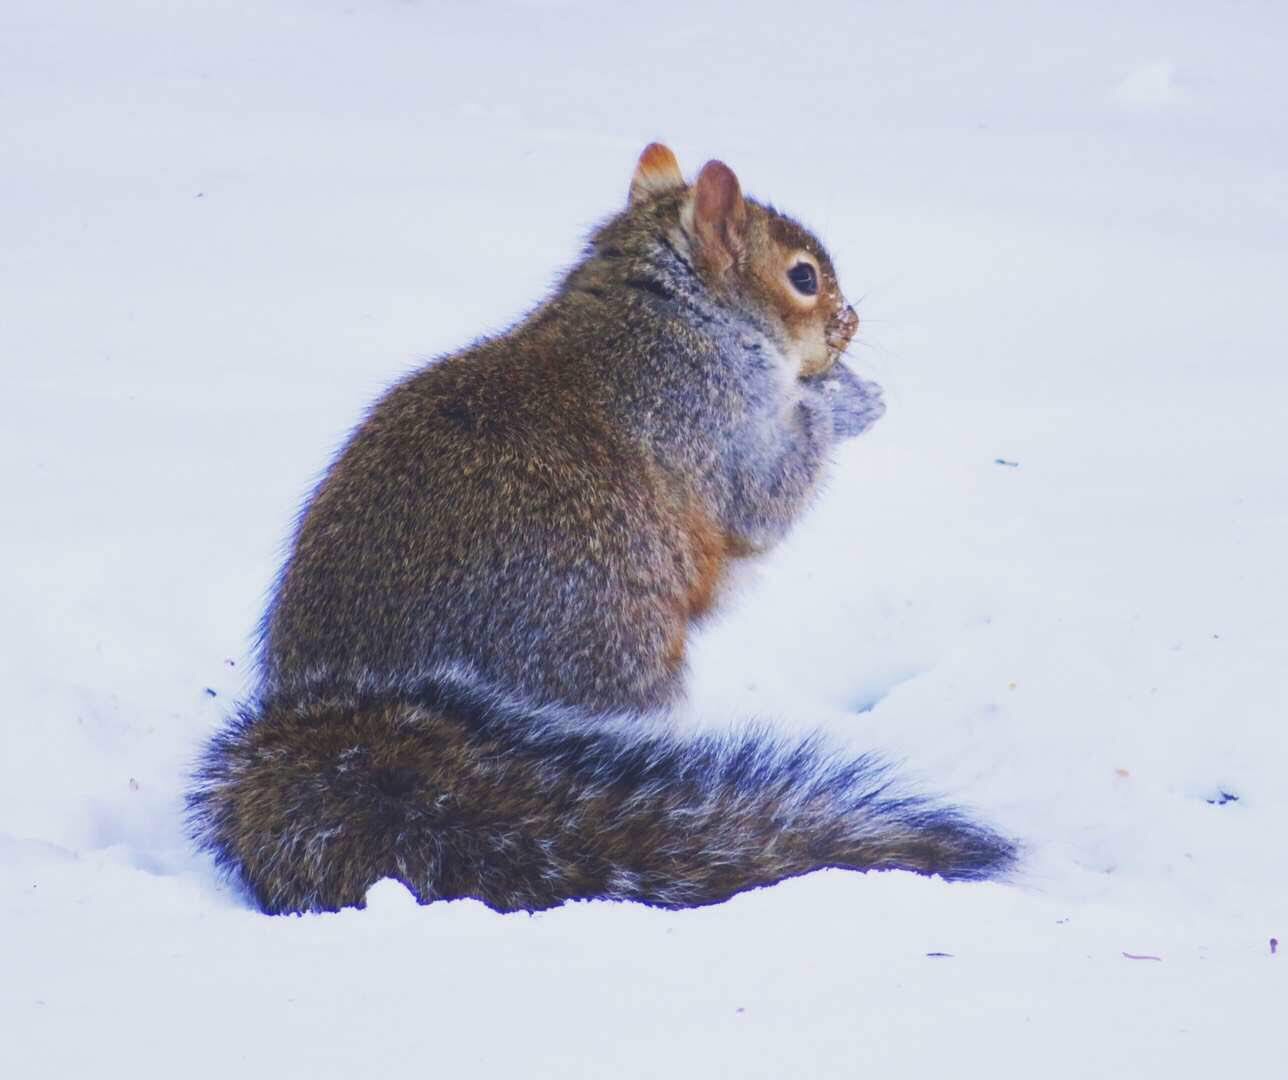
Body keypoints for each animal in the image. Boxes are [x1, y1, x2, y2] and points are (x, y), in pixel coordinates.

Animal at [190, 148, 1014, 916]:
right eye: (804, 277)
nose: (851, 325)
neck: (672, 312)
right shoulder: (709, 420)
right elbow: (763, 497)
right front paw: (846, 402)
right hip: (616, 651)